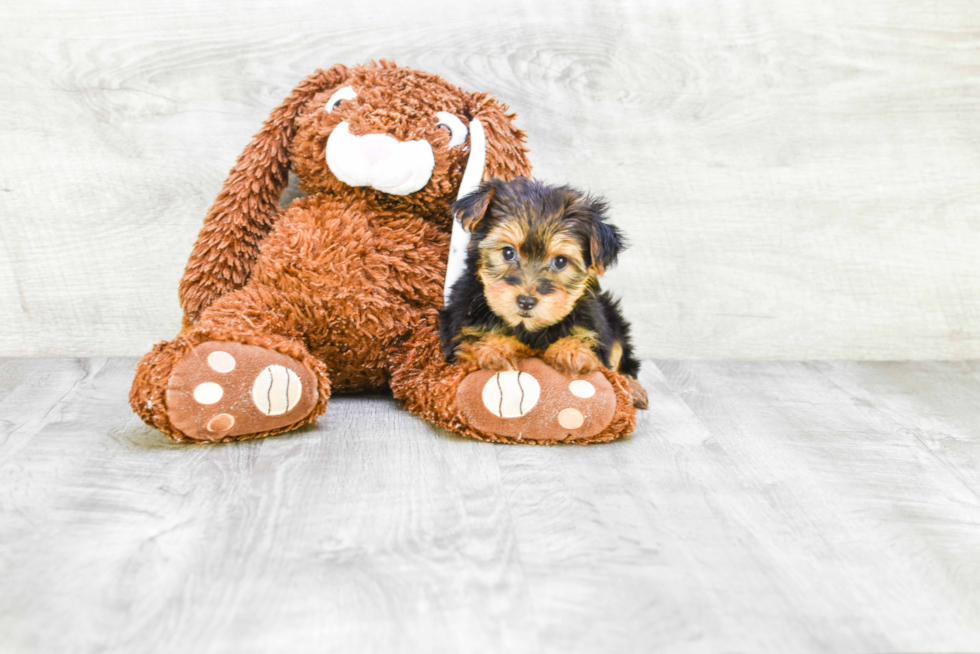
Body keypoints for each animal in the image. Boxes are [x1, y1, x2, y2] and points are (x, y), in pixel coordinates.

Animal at [440, 177, 648, 408]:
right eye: (508, 252)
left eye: (560, 261)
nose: (526, 301)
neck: (528, 328)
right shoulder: (459, 326)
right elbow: (474, 342)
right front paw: (496, 347)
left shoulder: (596, 327)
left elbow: (591, 345)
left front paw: (572, 351)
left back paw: (633, 389)